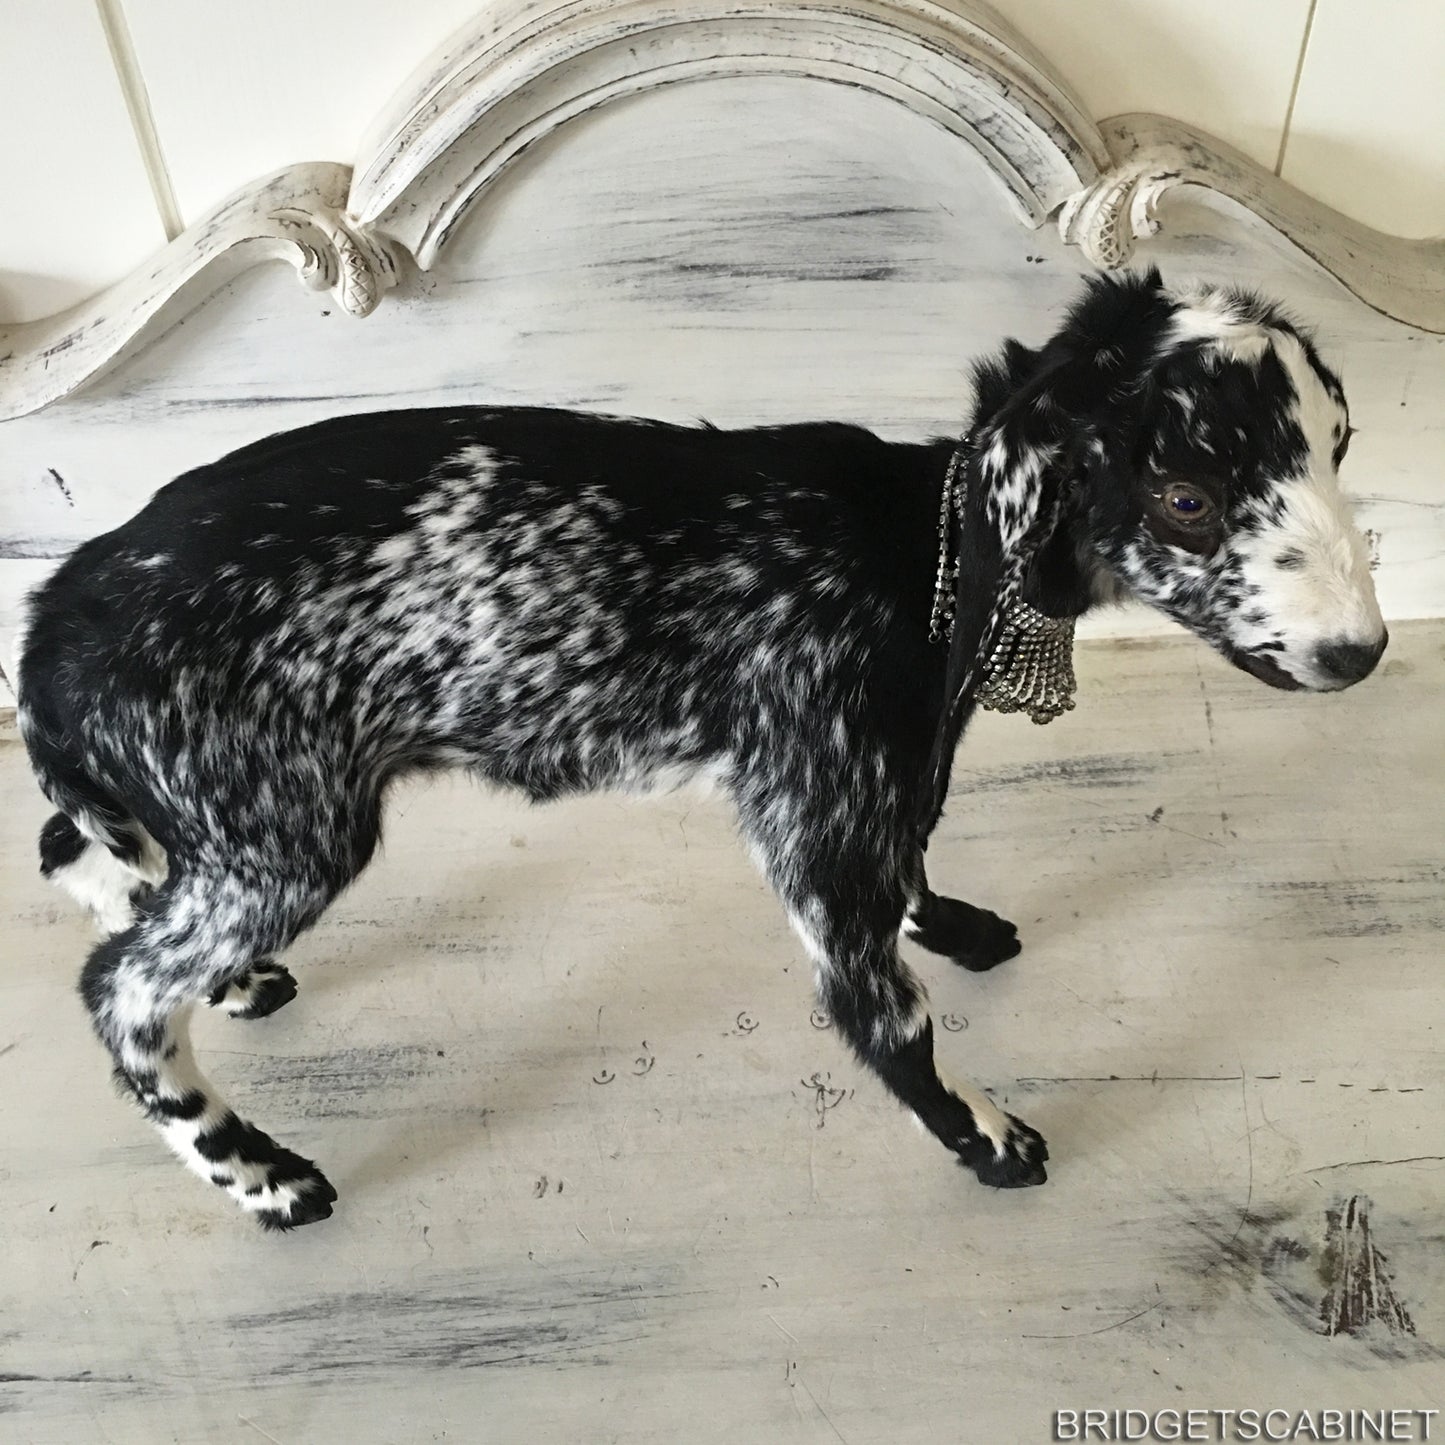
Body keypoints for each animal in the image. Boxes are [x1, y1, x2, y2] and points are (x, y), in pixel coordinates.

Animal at [17, 270, 1386, 1229]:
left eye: (1339, 445)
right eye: (1185, 501)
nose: (1360, 651)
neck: (918, 552)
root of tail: (61, 613)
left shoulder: (875, 771)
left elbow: (914, 855)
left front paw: (947, 920)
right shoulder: (819, 801)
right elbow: (881, 1011)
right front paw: (983, 1135)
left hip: (209, 821)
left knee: (73, 853)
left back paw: (231, 987)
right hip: (286, 828)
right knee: (121, 988)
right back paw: (261, 1172)